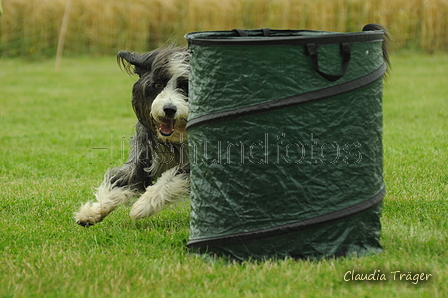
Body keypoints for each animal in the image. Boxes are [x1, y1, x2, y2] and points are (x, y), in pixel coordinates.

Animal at [75, 47, 189, 227]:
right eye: (157, 85)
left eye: (185, 87)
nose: (169, 109)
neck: (175, 138)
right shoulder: (143, 156)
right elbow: (121, 180)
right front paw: (94, 211)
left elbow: (174, 177)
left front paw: (144, 204)